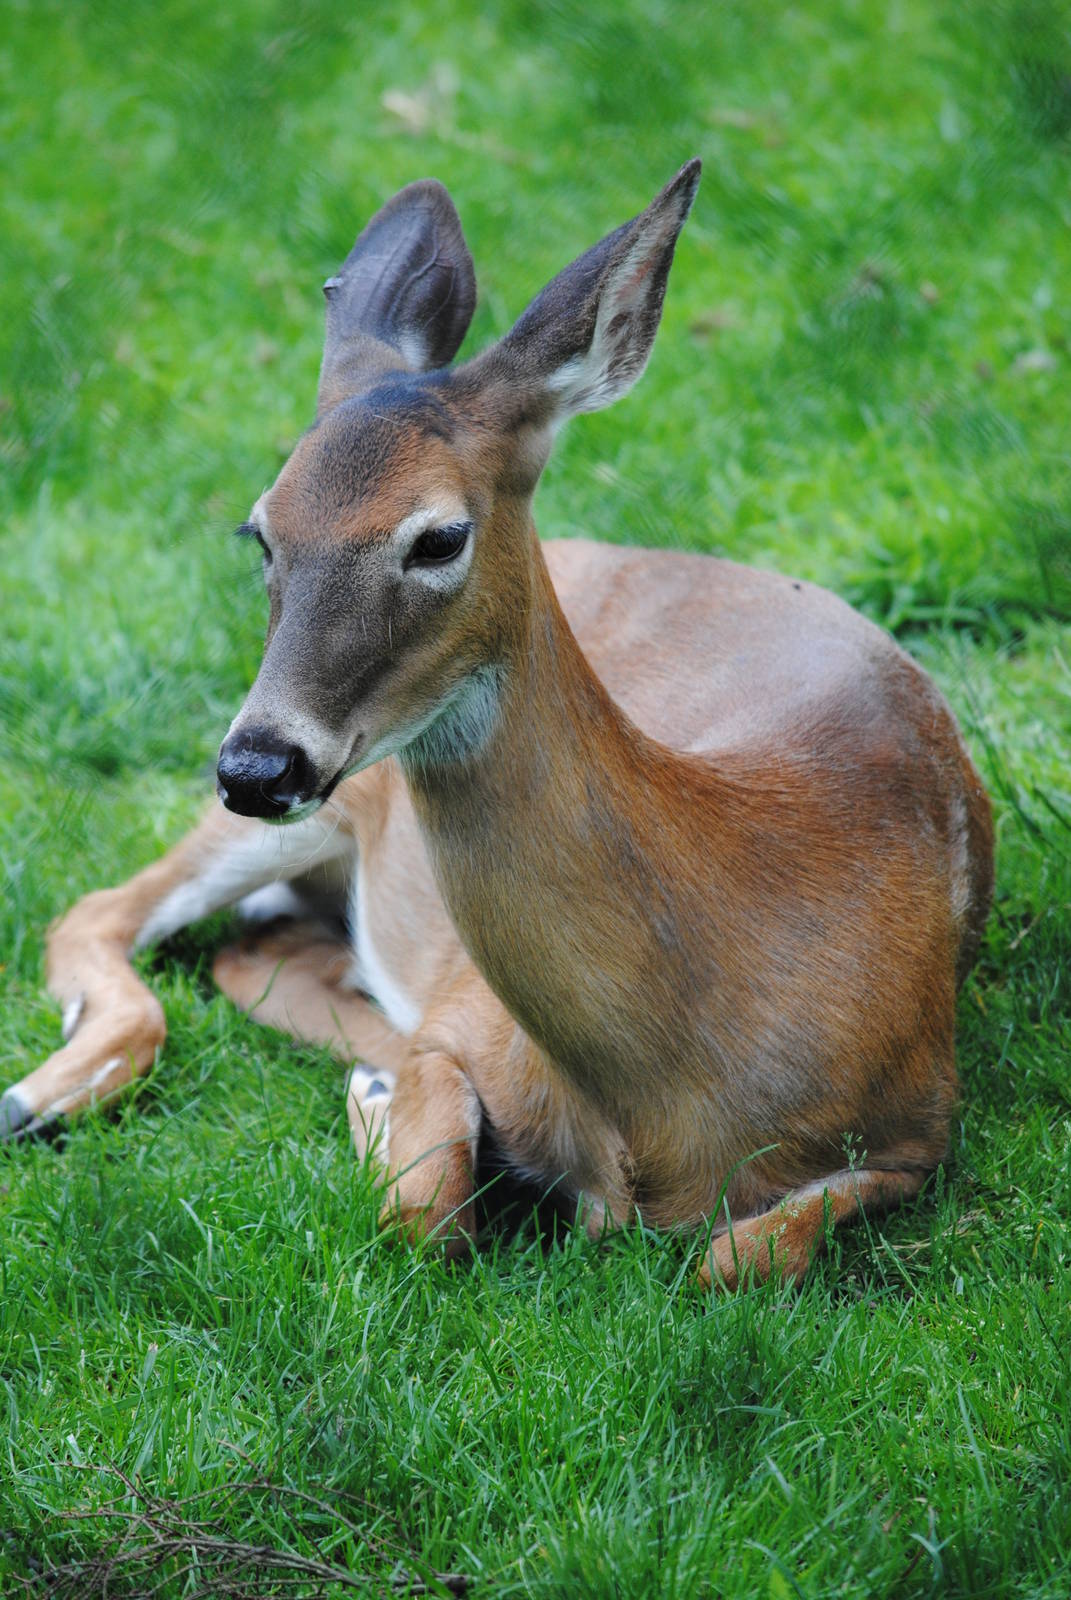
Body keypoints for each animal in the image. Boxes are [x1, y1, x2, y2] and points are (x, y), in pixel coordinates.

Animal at [5, 161, 994, 1288]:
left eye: (438, 537)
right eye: (260, 531)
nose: (258, 763)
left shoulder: (921, 1120)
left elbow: (742, 1256)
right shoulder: (458, 1016)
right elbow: (424, 1210)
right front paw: (395, 1124)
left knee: (246, 947)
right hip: (324, 810)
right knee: (105, 911)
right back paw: (42, 1096)